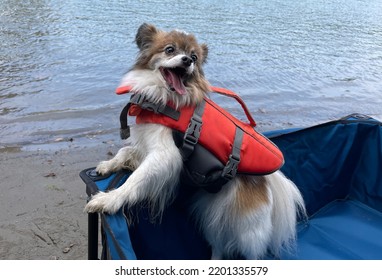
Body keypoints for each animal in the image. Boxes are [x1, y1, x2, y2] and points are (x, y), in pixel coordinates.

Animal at [85, 23, 306, 260]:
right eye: (170, 50)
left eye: (193, 57)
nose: (186, 61)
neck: (164, 99)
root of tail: (266, 180)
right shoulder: (147, 143)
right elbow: (125, 152)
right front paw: (108, 165)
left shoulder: (164, 155)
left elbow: (136, 179)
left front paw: (109, 199)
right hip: (214, 219)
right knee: (218, 246)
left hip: (249, 230)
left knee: (253, 252)